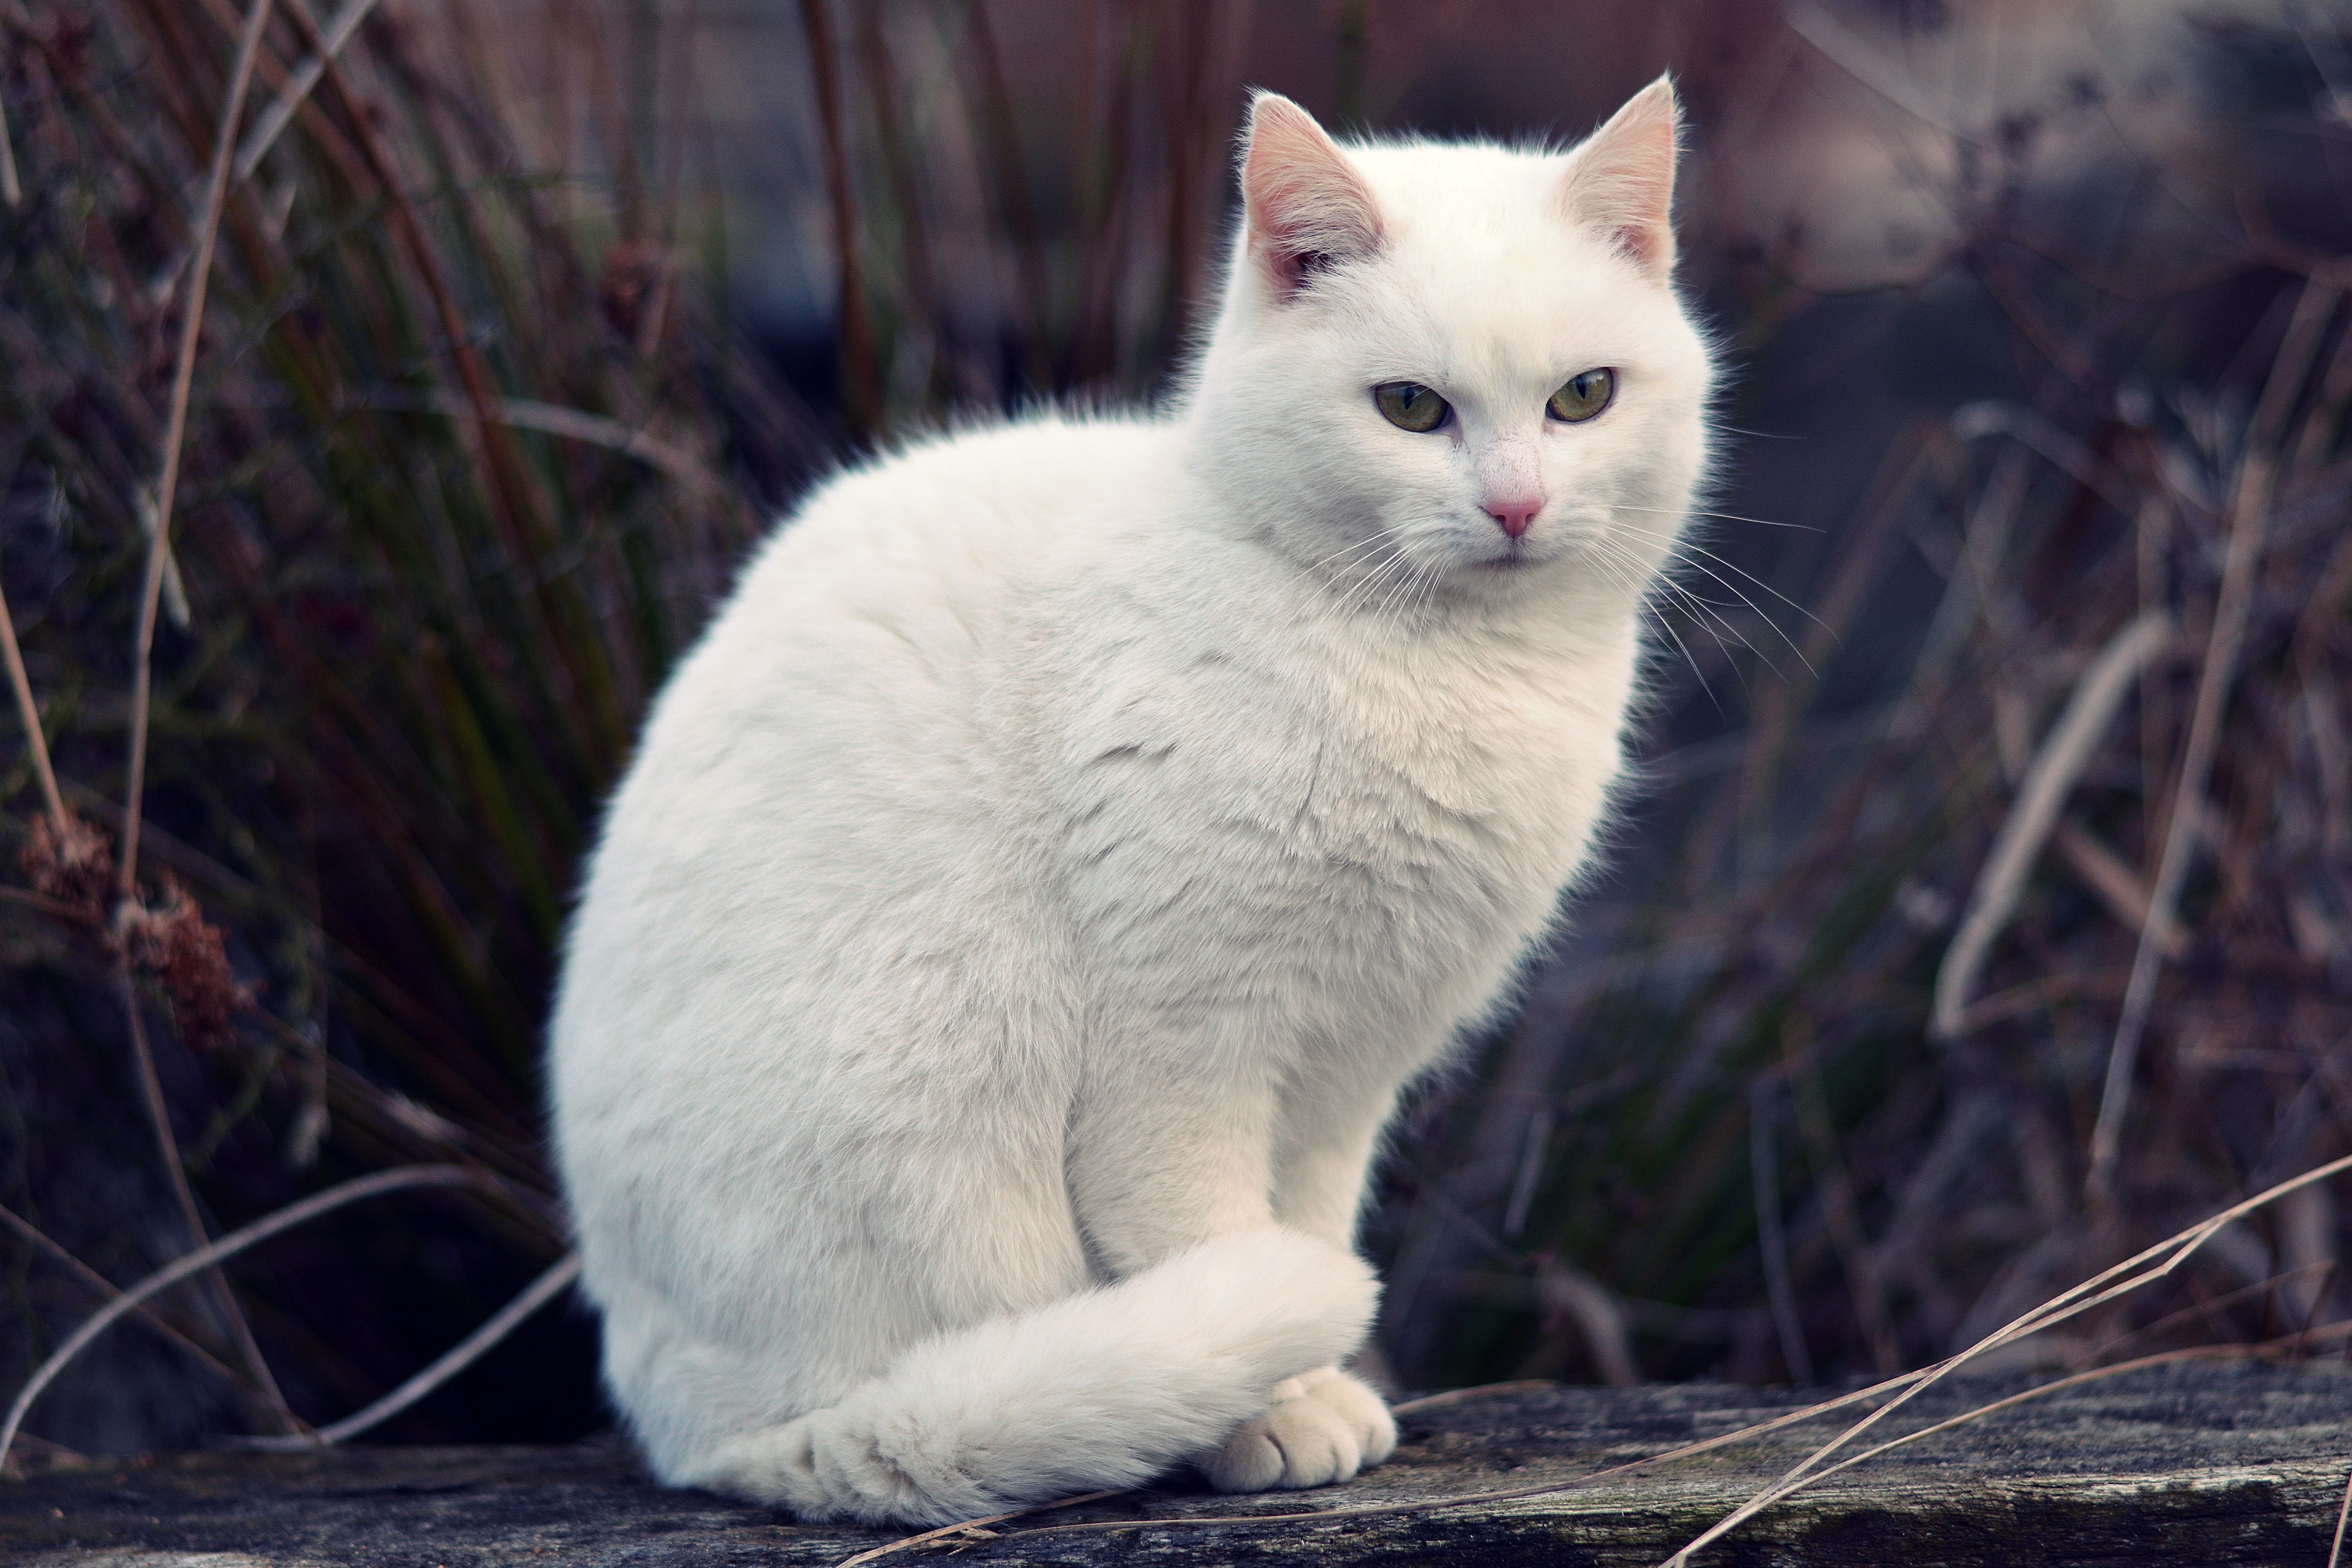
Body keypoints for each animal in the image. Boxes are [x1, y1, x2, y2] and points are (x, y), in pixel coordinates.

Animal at [550, 80, 1712, 1523]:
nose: (1514, 507)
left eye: (1584, 397)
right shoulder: (1181, 1049)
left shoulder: (1345, 1074)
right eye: (1409, 408)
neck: (1442, 671)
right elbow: (1206, 1238)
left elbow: (1303, 1224)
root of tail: (698, 1428)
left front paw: (1312, 1393)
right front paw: (1272, 1418)